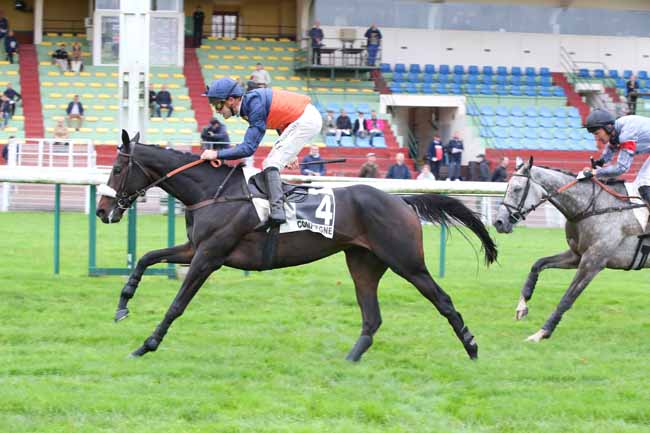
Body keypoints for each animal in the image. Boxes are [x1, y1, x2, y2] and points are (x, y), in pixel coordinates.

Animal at [96, 131, 494, 358]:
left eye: (115, 169)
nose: (101, 209)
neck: (213, 192)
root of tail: (402, 201)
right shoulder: (196, 249)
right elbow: (146, 258)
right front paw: (122, 305)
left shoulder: (209, 256)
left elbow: (177, 305)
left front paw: (147, 345)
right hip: (363, 263)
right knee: (372, 318)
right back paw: (350, 359)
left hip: (406, 261)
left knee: (442, 300)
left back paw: (472, 346)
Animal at [494, 158, 644, 340]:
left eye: (517, 189)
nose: (499, 222)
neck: (595, 208)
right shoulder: (576, 255)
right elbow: (538, 264)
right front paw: (522, 306)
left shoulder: (592, 263)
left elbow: (567, 299)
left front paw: (541, 333)